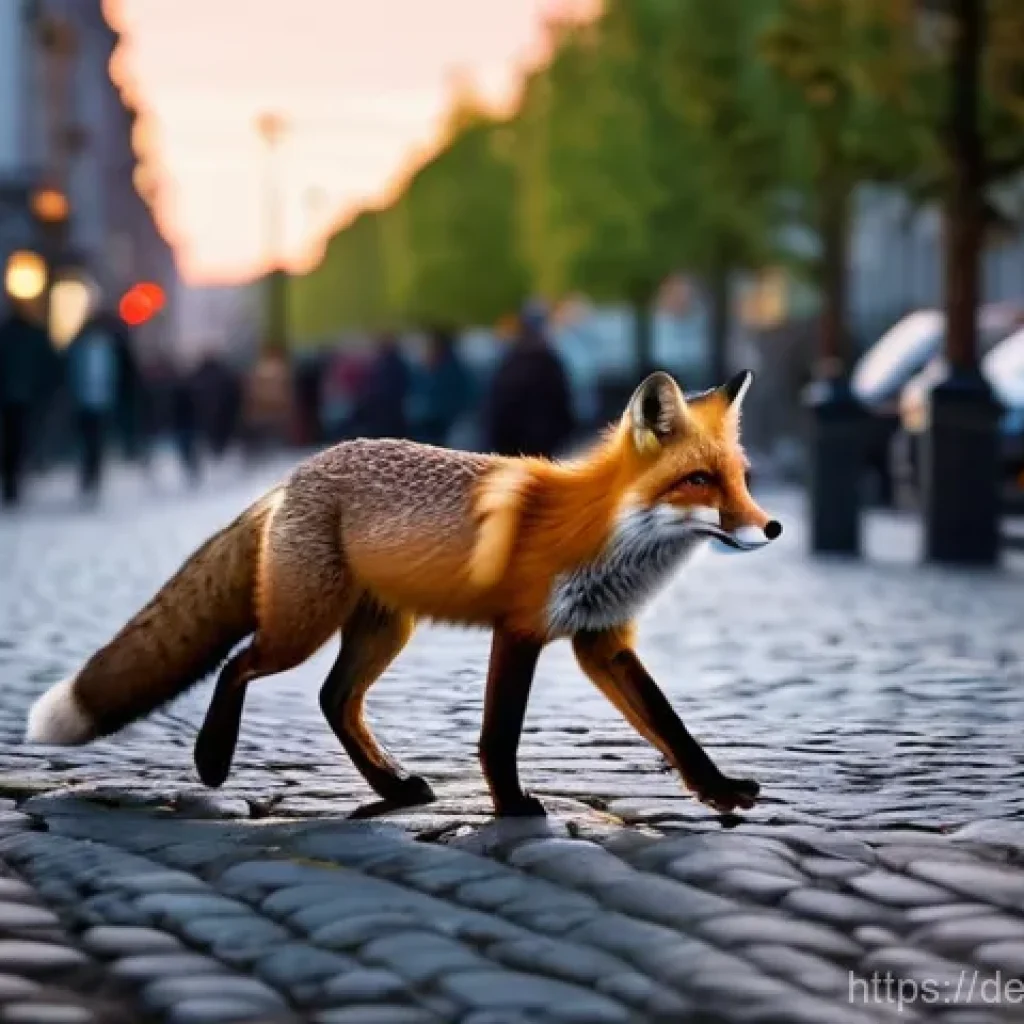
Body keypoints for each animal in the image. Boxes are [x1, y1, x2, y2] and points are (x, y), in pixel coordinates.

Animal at [25, 370, 782, 817]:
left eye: (740, 477)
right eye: (698, 481)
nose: (772, 527)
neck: (605, 531)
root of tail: (296, 474)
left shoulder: (601, 640)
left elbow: (672, 728)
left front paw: (718, 791)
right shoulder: (522, 629)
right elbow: (499, 733)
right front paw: (511, 806)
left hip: (385, 630)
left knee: (333, 699)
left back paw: (391, 787)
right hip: (302, 626)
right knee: (239, 664)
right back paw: (212, 760)